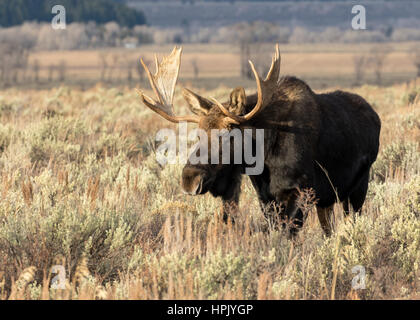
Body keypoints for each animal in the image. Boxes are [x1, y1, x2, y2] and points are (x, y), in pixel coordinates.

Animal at [137, 44, 380, 235]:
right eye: (198, 133)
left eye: (229, 131)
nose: (189, 178)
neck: (265, 155)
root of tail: (375, 117)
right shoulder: (265, 196)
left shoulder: (301, 190)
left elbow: (288, 235)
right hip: (328, 199)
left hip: (357, 188)